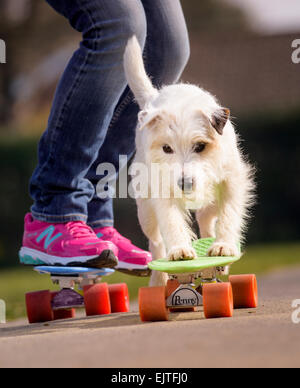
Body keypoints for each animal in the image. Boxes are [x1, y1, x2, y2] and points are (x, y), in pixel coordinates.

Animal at [123, 36, 254, 286]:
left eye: (200, 146)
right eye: (167, 149)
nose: (185, 184)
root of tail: (153, 97)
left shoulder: (232, 180)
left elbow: (229, 213)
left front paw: (223, 246)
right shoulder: (163, 188)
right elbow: (171, 220)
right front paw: (179, 250)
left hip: (210, 200)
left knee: (206, 218)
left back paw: (216, 256)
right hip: (146, 213)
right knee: (156, 242)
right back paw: (159, 279)